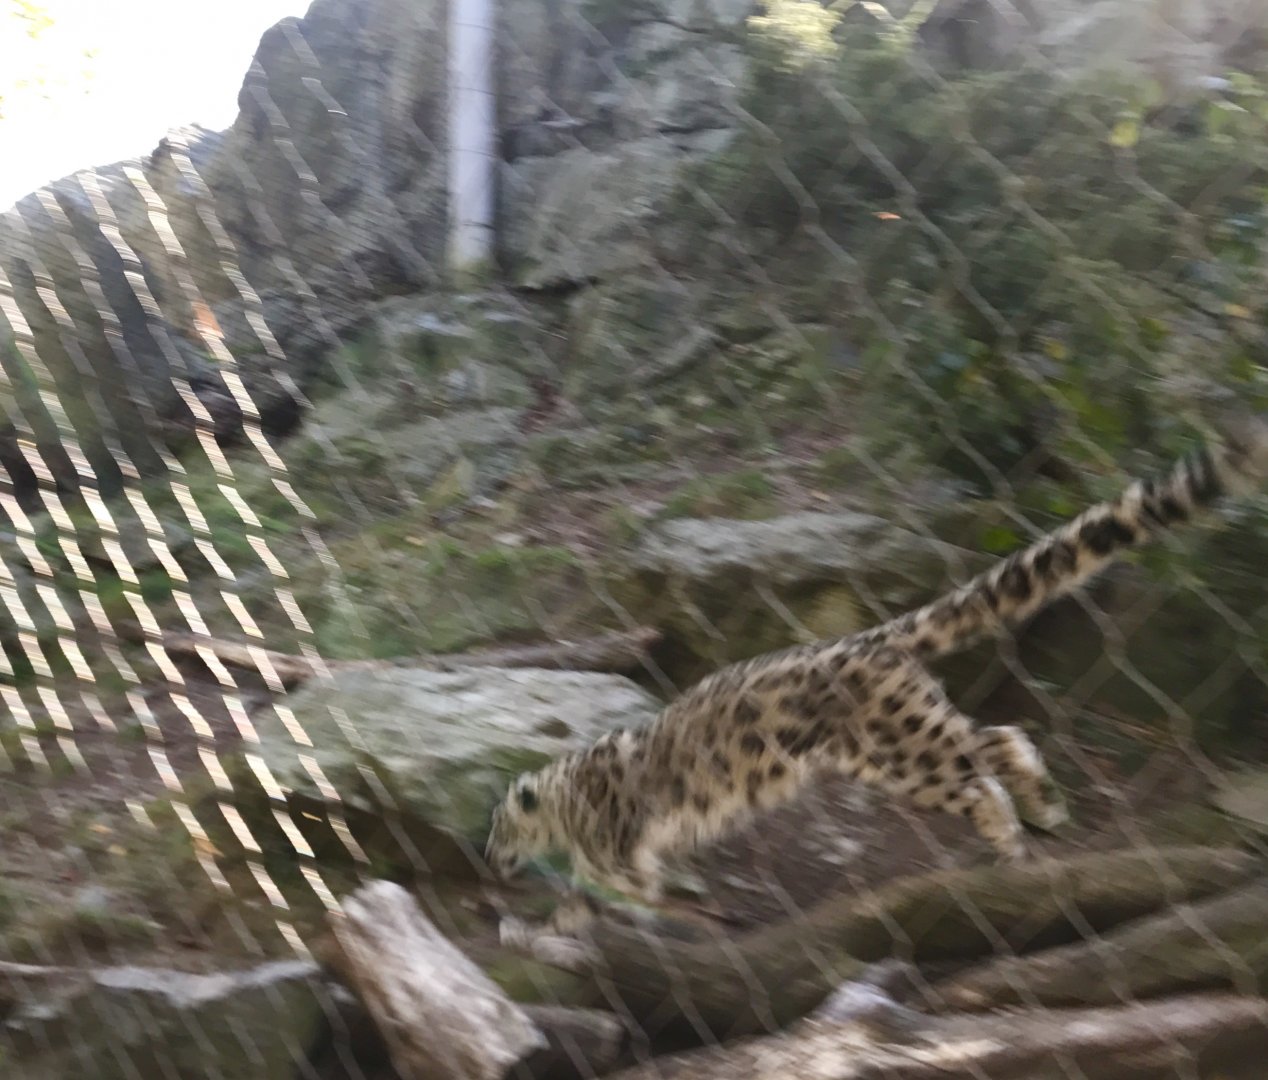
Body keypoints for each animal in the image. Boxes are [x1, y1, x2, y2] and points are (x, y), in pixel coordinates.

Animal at [486, 418, 1268, 908]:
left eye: (497, 828)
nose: (490, 860)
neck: (565, 800)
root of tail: (872, 638)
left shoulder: (612, 852)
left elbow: (611, 886)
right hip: (911, 737)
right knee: (1001, 742)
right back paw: (1042, 812)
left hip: (904, 751)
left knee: (986, 769)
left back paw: (1016, 833)